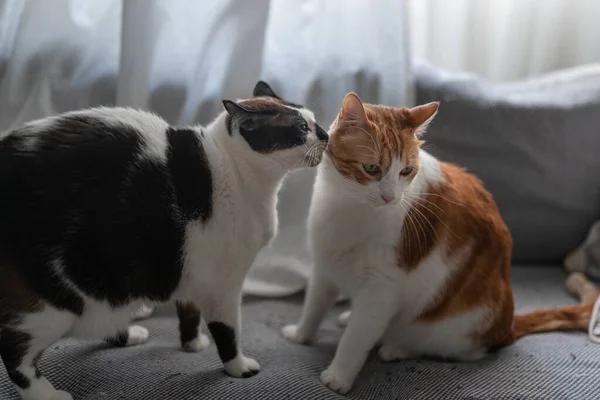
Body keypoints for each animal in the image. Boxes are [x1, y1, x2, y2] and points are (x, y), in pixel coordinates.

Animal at [0, 82, 328, 400]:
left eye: (314, 120)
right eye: (301, 128)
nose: (325, 134)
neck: (235, 170)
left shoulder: (191, 267)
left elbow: (189, 311)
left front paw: (192, 343)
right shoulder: (224, 284)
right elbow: (228, 332)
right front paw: (238, 367)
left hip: (107, 287)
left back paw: (129, 334)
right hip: (51, 304)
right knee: (15, 353)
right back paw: (46, 394)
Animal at [282, 93, 596, 394]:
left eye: (406, 171)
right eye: (372, 168)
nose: (390, 197)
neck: (348, 207)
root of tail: (507, 326)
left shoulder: (380, 290)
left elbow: (356, 339)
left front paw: (339, 375)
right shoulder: (325, 265)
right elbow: (314, 307)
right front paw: (300, 335)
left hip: (455, 326)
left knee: (459, 350)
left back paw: (398, 347)